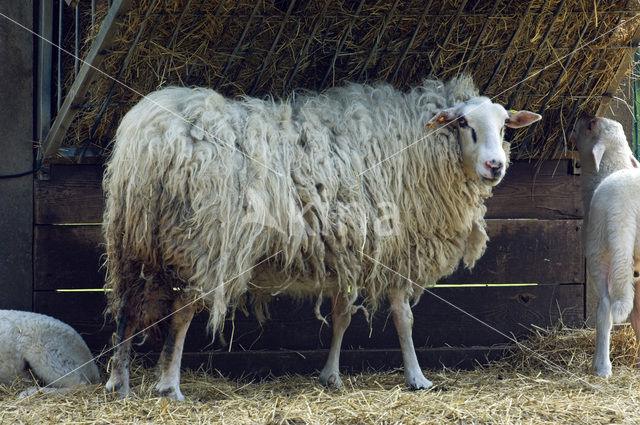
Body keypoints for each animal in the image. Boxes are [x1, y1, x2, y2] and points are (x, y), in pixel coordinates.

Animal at [104, 75, 540, 398]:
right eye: (464, 124)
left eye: (504, 126)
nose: (495, 165)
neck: (415, 144)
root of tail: (148, 136)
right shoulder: (395, 247)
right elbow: (404, 318)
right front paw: (417, 378)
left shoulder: (350, 250)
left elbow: (342, 314)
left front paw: (330, 375)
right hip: (201, 241)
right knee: (180, 314)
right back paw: (169, 386)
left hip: (132, 241)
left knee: (127, 309)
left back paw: (118, 383)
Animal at [572, 115, 640, 374]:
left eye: (591, 125)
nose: (577, 120)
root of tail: (626, 207)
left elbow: (605, 311)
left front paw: (599, 365)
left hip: (603, 249)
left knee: (606, 306)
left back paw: (602, 367)